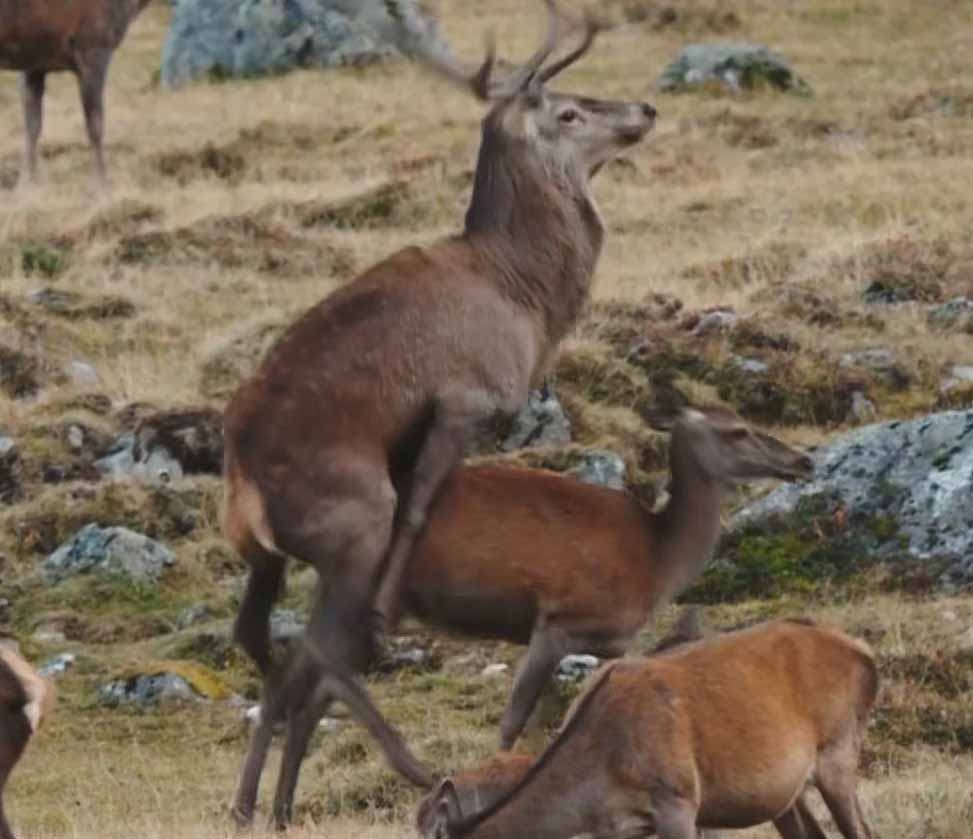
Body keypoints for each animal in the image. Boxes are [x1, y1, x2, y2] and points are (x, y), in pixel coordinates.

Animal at [0, 0, 152, 185]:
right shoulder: (94, 46)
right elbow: (95, 125)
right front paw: (101, 185)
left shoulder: (35, 64)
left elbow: (32, 125)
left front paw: (26, 183)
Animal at [224, 0, 656, 828]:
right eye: (568, 109)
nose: (644, 109)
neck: (526, 298)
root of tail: (243, 485)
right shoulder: (465, 398)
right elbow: (421, 502)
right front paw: (390, 614)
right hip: (349, 525)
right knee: (312, 651)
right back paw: (402, 758)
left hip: (265, 557)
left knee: (261, 644)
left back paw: (255, 802)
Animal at [230, 406, 812, 828]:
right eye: (737, 431)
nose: (803, 461)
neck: (657, 560)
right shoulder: (559, 619)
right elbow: (514, 715)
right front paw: (487, 783)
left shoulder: (611, 643)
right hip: (366, 590)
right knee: (303, 670)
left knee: (304, 683)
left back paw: (278, 811)